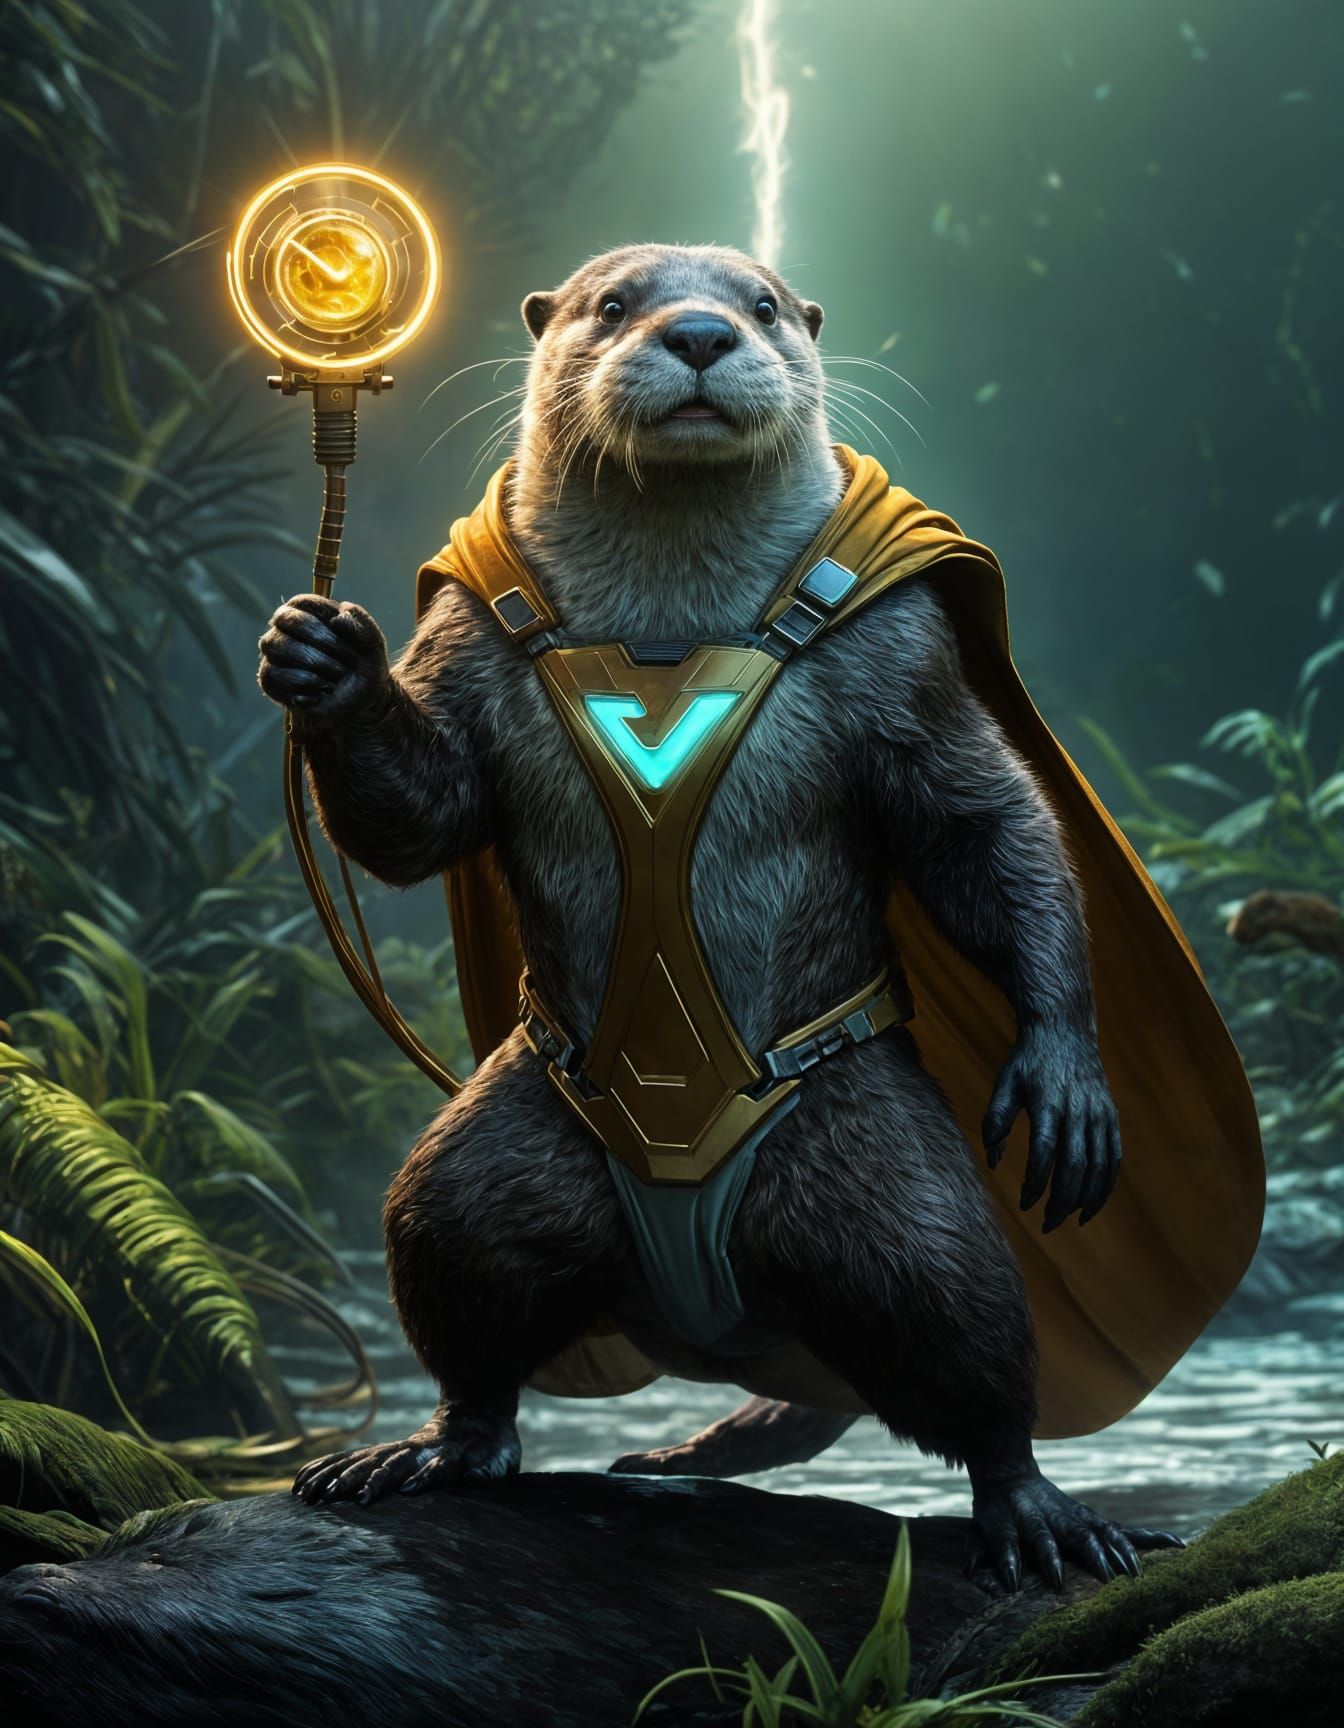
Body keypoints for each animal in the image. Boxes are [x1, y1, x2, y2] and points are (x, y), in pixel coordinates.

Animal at [258, 243, 1176, 1592]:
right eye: (612, 304)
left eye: (761, 304)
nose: (696, 334)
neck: (668, 617)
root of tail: (720, 1307)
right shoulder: (470, 628)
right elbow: (429, 812)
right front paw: (323, 659)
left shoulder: (899, 647)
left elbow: (977, 823)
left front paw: (1063, 1078)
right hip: (510, 1146)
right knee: (453, 1262)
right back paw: (432, 1452)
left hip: (881, 1174)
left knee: (962, 1328)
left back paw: (1042, 1517)